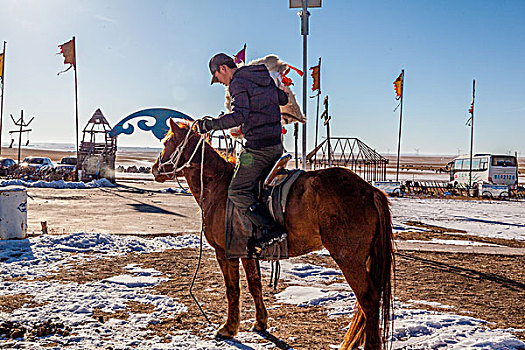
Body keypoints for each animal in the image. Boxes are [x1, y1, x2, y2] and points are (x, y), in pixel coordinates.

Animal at [151, 119, 392, 348]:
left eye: (166, 142)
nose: (155, 169)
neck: (218, 187)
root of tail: (370, 191)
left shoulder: (226, 252)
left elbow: (233, 289)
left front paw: (228, 328)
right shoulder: (247, 253)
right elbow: (254, 285)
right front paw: (260, 323)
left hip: (349, 259)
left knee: (368, 299)